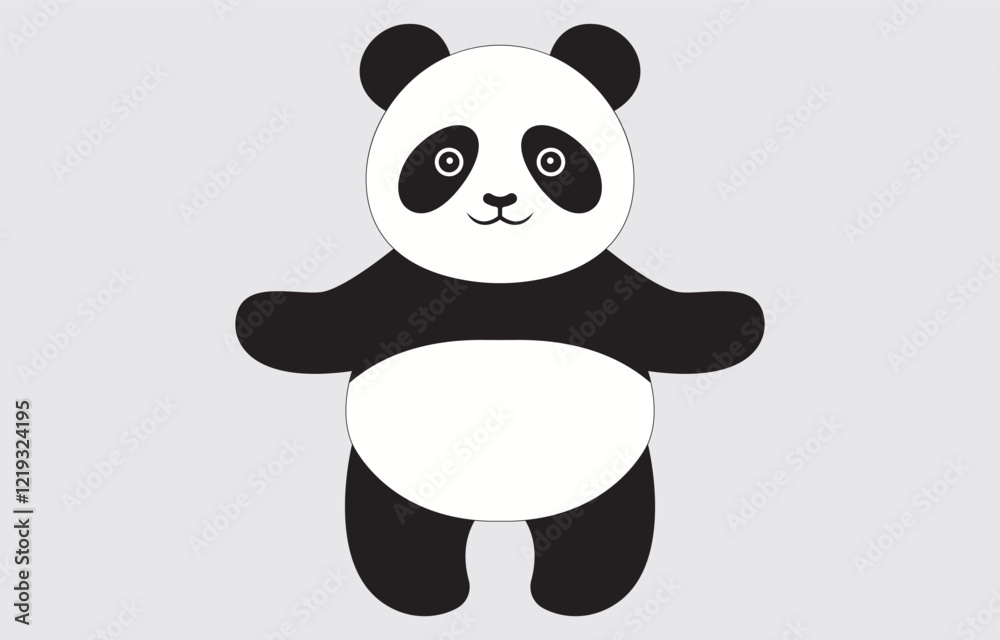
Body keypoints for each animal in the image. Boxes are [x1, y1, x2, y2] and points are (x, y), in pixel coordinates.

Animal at [236, 24, 764, 617]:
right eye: (447, 159)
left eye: (552, 158)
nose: (499, 198)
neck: (501, 283)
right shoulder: (399, 288)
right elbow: (327, 319)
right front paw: (256, 314)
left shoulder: (601, 286)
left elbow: (674, 320)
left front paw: (743, 317)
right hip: (392, 478)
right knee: (400, 533)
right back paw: (424, 594)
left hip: (606, 478)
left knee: (601, 532)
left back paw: (575, 595)